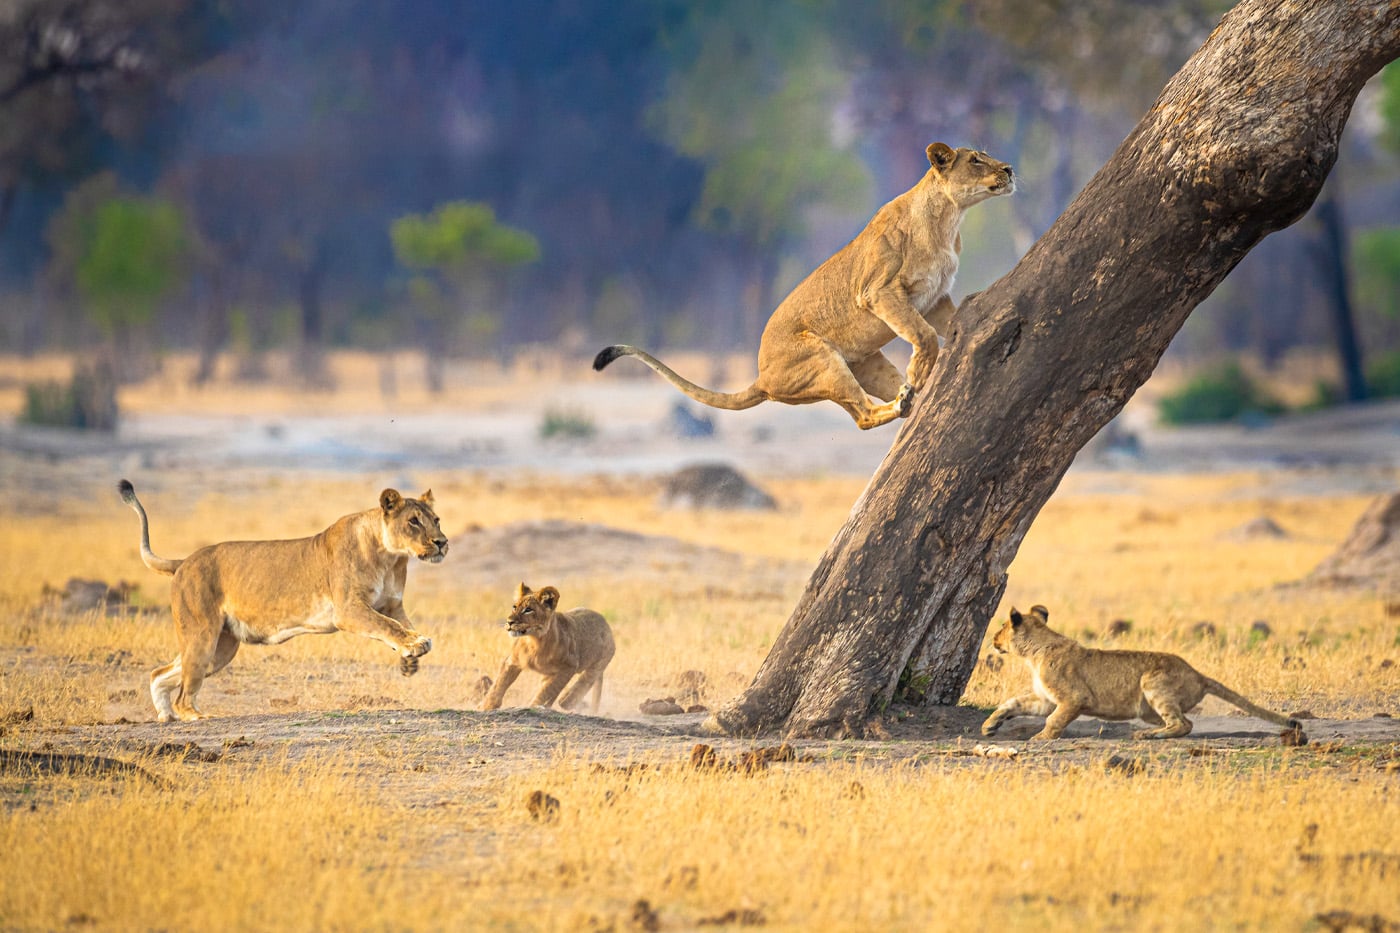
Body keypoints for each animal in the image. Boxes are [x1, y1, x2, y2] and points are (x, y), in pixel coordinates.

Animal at [118, 479, 446, 722]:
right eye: (414, 522)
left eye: (436, 520)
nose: (442, 542)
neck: (391, 557)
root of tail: (183, 561)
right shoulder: (348, 609)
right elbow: (387, 626)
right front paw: (414, 646)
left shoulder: (392, 604)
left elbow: (399, 624)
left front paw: (409, 656)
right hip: (203, 636)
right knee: (184, 691)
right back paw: (195, 717)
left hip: (221, 647)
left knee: (162, 673)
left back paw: (166, 716)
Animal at [481, 583, 615, 713]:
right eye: (514, 607)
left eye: (528, 610)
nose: (509, 622)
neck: (534, 641)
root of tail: (605, 622)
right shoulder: (512, 661)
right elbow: (499, 684)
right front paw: (486, 706)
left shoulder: (569, 666)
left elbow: (547, 690)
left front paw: (534, 707)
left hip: (599, 662)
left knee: (586, 680)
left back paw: (567, 701)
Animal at [593, 143, 1014, 429]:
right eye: (976, 160)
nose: (1010, 169)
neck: (949, 220)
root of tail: (762, 378)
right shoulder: (877, 290)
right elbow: (923, 334)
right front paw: (920, 371)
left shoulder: (935, 296)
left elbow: (949, 320)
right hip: (821, 359)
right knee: (862, 415)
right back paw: (904, 399)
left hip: (865, 361)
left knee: (871, 409)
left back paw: (907, 399)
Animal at [981, 605, 1302, 740]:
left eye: (1001, 627)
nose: (993, 640)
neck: (1033, 654)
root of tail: (1198, 674)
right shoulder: (1046, 698)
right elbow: (1011, 703)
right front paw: (989, 725)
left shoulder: (1074, 698)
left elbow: (1054, 719)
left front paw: (1041, 737)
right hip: (1148, 708)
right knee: (1184, 722)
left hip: (1153, 683)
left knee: (1183, 724)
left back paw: (1149, 736)